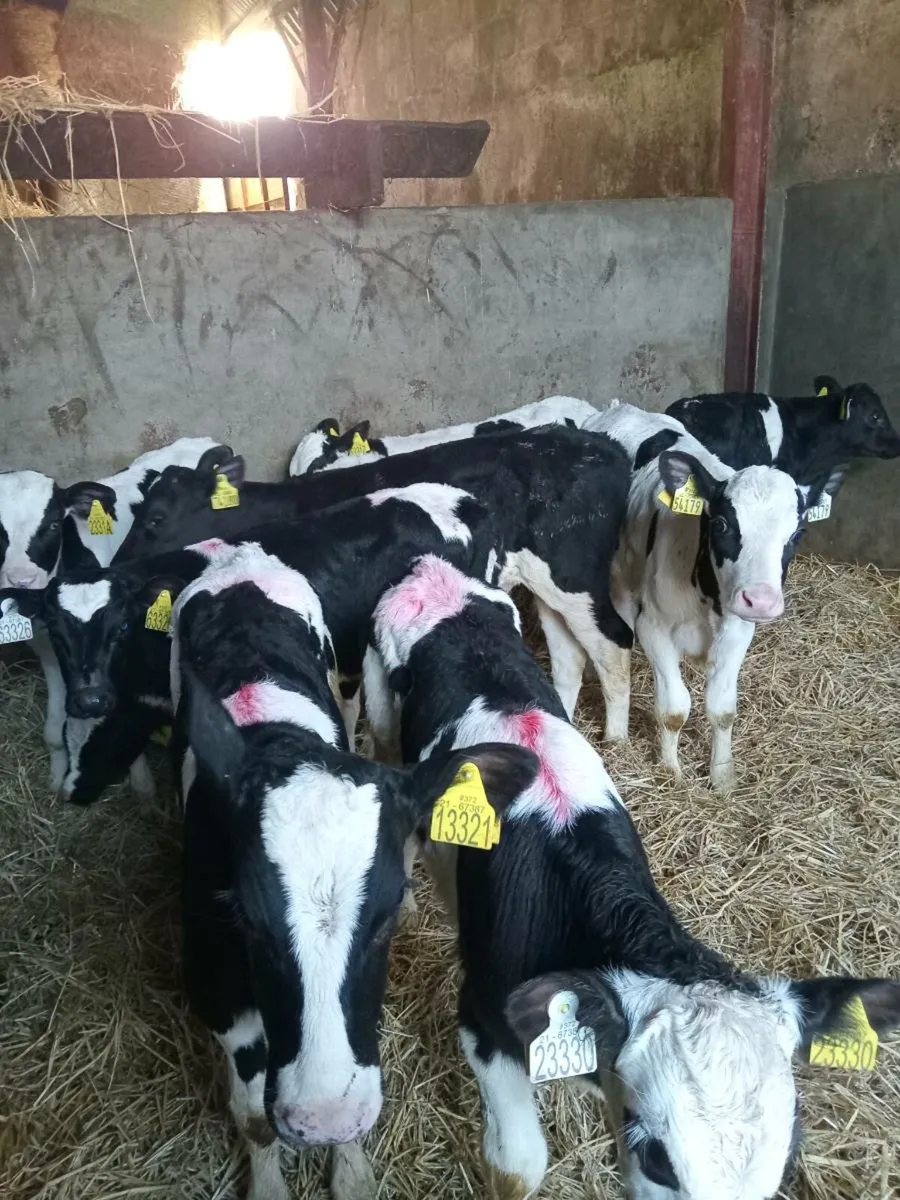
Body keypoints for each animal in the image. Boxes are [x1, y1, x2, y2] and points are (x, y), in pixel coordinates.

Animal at [0, 437, 220, 787]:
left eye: (52, 524)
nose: (22, 581)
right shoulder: (45, 641)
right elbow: (54, 728)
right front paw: (56, 776)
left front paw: (141, 780)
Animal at [116, 429, 635, 728]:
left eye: (156, 518)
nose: (117, 564)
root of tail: (602, 445)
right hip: (551, 588)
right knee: (570, 654)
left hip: (574, 576)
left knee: (614, 642)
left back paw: (615, 739)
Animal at [174, 541, 537, 1200]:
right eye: (247, 918)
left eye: (386, 916)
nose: (326, 1118)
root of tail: (240, 556)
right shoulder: (216, 989)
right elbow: (252, 1117)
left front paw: (350, 1171)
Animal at [363, 554, 900, 1200]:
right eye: (659, 1158)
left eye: (787, 1158)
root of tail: (432, 569)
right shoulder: (483, 1022)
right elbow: (518, 1168)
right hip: (380, 714)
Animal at [577, 403, 819, 790]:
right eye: (721, 524)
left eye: (798, 533)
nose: (761, 600)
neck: (707, 597)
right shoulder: (655, 629)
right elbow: (674, 709)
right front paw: (670, 770)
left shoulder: (738, 632)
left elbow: (723, 710)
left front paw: (723, 776)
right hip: (620, 574)